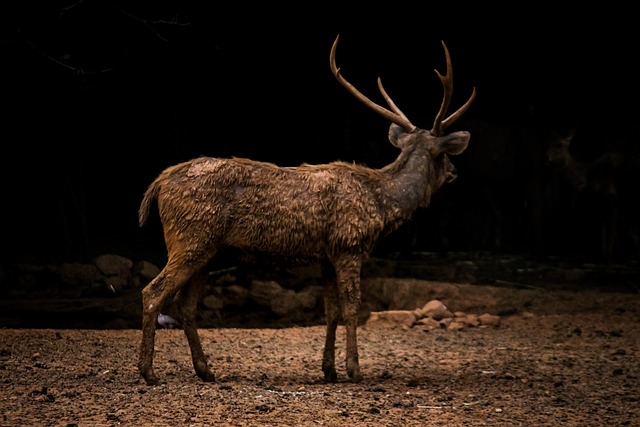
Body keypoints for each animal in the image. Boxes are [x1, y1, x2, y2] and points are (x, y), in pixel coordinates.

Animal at [136, 35, 476, 386]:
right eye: (444, 155)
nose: (454, 172)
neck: (382, 202)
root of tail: (159, 183)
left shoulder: (326, 255)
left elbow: (330, 311)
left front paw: (329, 370)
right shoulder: (349, 245)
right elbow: (351, 308)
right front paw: (354, 369)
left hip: (209, 248)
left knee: (186, 306)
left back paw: (205, 370)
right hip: (190, 237)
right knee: (153, 292)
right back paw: (149, 372)